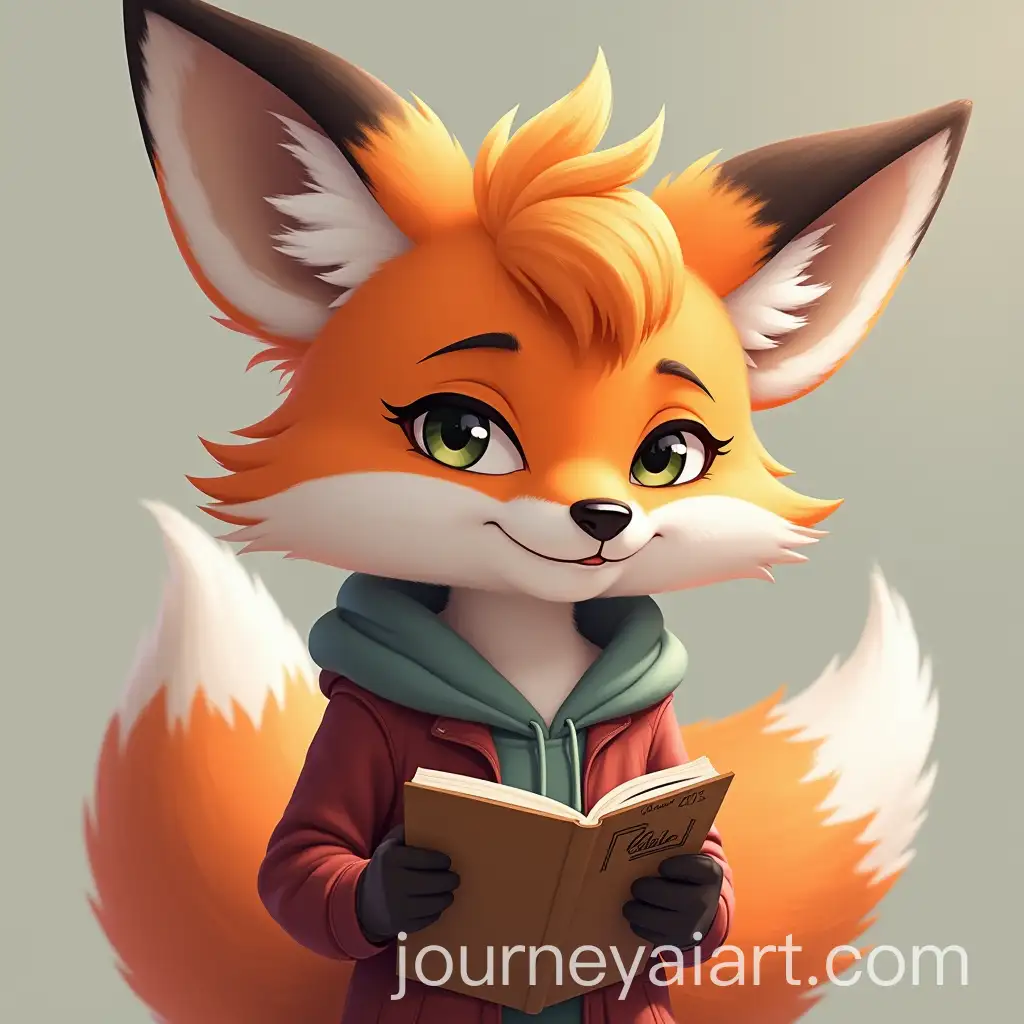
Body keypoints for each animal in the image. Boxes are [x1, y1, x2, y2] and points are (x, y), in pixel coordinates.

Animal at [86, 2, 970, 1023]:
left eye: (670, 456)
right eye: (459, 435)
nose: (604, 516)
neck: (532, 668)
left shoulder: (662, 744)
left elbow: (711, 866)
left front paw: (685, 895)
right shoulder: (353, 734)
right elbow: (297, 860)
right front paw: (400, 886)